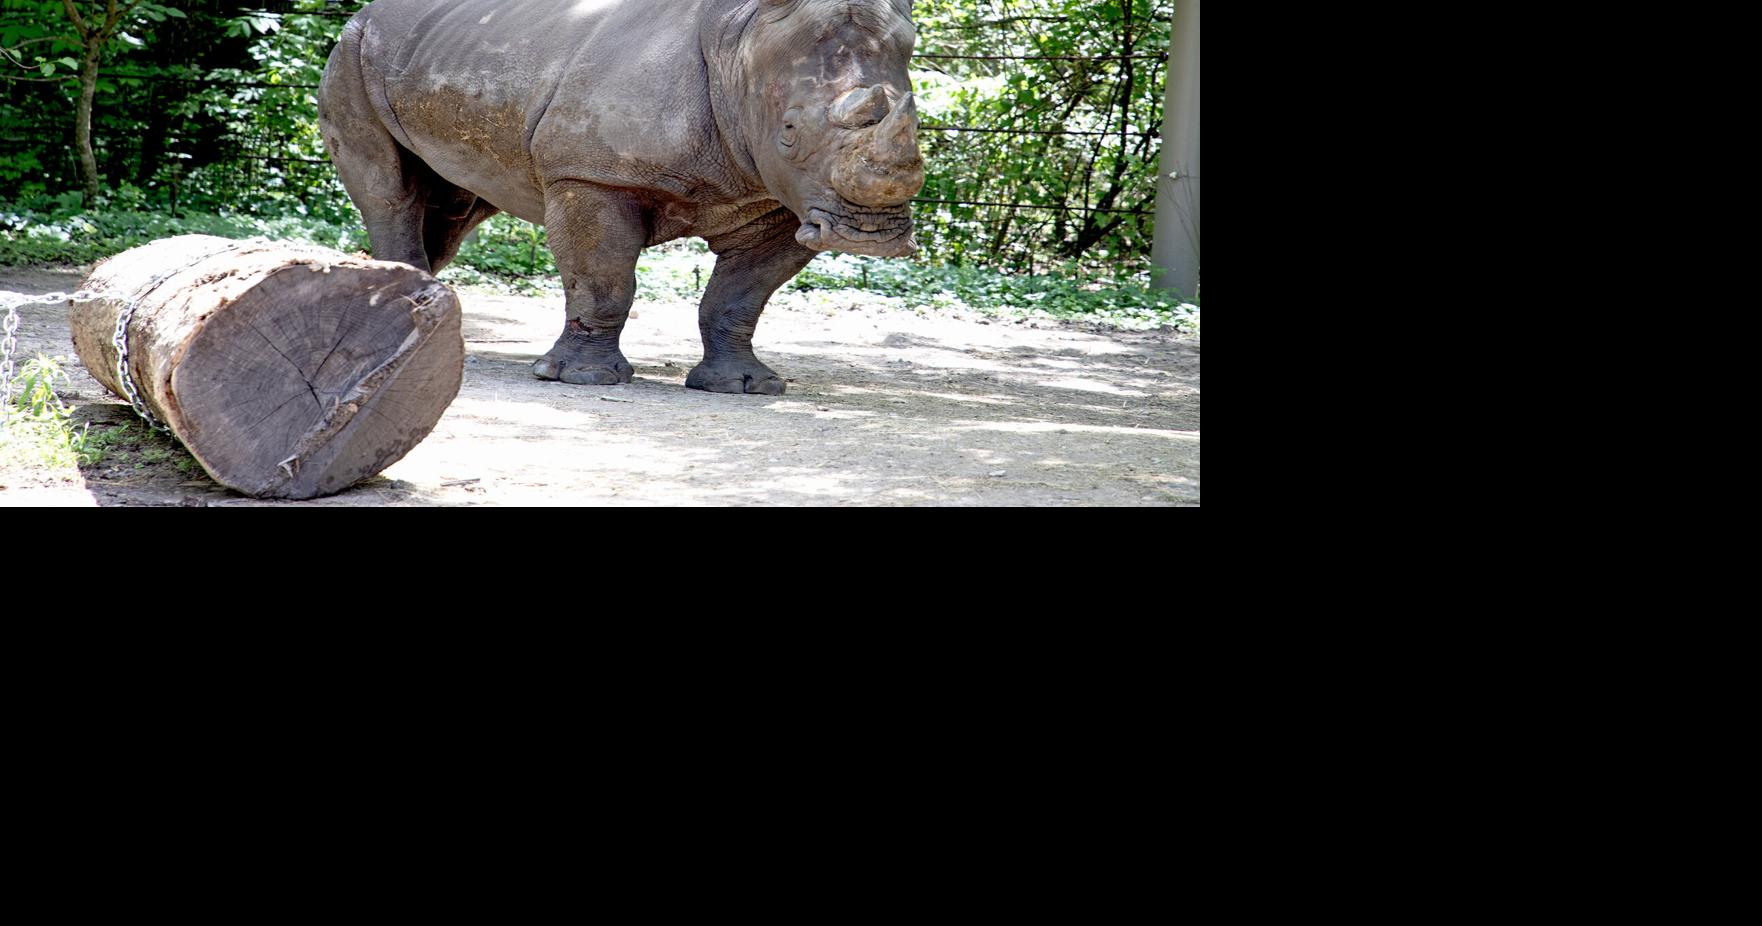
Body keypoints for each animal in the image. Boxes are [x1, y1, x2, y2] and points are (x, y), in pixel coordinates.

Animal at [319, 0, 925, 395]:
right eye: (791, 131)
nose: (868, 235)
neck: (739, 49)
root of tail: (369, 11)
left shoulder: (782, 202)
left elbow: (740, 295)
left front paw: (743, 386)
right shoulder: (591, 174)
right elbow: (603, 279)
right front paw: (583, 379)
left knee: (453, 209)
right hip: (351, 51)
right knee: (390, 194)